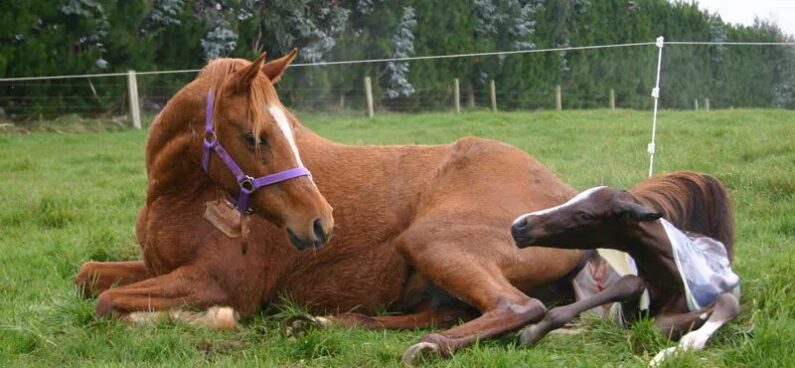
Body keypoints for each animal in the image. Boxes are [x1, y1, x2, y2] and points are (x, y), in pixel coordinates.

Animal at [74, 52, 584, 366]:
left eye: (290, 128)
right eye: (255, 136)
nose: (321, 222)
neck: (178, 196)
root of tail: (566, 195)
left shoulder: (217, 283)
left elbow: (107, 303)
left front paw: (209, 319)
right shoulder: (157, 266)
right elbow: (87, 279)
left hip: (430, 240)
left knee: (516, 306)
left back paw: (425, 348)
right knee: (442, 313)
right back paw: (317, 323)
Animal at [510, 172, 740, 366]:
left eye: (585, 215)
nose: (519, 225)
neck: (670, 281)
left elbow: (726, 302)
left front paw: (668, 353)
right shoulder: (626, 311)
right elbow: (630, 284)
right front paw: (530, 333)